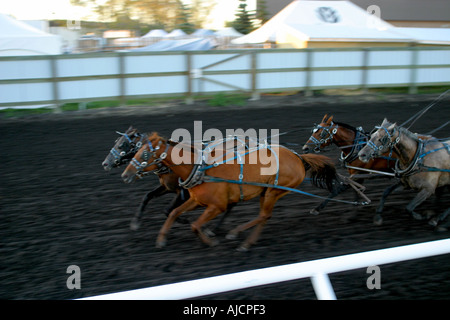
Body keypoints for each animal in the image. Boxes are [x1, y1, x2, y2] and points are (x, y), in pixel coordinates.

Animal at [120, 131, 338, 251]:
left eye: (145, 154)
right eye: (136, 150)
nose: (125, 174)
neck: (200, 167)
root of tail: (298, 157)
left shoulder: (216, 206)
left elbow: (195, 225)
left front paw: (209, 241)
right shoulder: (195, 200)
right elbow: (173, 213)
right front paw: (161, 239)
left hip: (273, 191)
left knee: (264, 215)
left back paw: (241, 239)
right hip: (265, 191)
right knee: (264, 216)